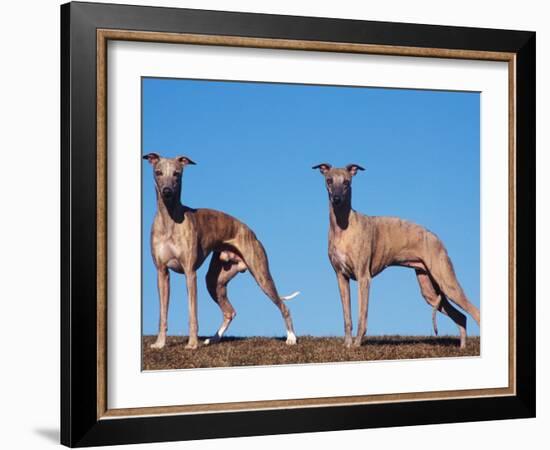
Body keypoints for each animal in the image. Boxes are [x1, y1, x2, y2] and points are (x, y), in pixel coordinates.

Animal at [142, 153, 298, 350]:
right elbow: (162, 314)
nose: (167, 191)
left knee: (283, 306)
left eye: (177, 173)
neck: (170, 220)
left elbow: (192, 314)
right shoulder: (162, 272)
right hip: (215, 281)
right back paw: (213, 338)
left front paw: (192, 344)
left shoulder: (190, 273)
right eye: (158, 172)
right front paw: (160, 343)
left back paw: (291, 337)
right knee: (230, 312)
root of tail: (251, 233)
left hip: (261, 275)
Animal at [314, 163, 484, 350]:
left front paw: (357, 344)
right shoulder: (341, 277)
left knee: (475, 313)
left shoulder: (363, 277)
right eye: (329, 180)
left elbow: (362, 316)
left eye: (346, 182)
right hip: (430, 290)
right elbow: (347, 317)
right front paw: (347, 345)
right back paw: (462, 347)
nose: (336, 199)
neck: (343, 226)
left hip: (447, 283)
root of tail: (436, 238)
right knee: (462, 317)